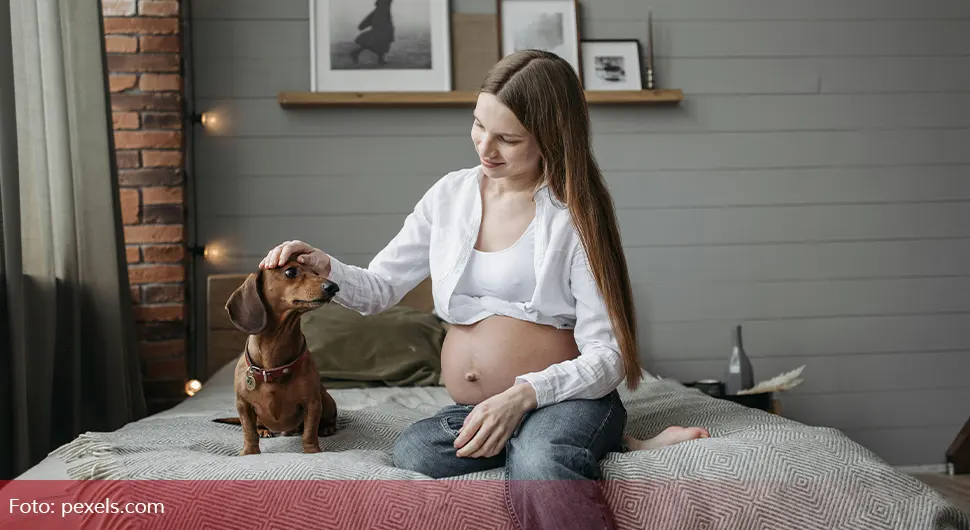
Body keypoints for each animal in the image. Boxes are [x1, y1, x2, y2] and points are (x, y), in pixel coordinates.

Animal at [217, 260, 338, 454]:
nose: (334, 287)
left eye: (316, 272)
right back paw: (264, 430)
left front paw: (312, 451)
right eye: (290, 271)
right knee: (258, 426)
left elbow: (309, 431)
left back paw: (326, 428)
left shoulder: (312, 402)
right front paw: (249, 452)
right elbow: (248, 431)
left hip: (326, 401)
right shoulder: (243, 404)